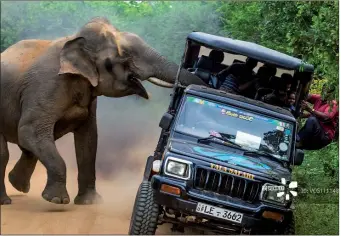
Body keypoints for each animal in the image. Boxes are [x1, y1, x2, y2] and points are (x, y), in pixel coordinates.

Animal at [0, 17, 206, 205]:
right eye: (126, 55)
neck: (74, 40)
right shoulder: (46, 86)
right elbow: (30, 131)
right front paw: (57, 200)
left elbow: (89, 139)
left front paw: (90, 202)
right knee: (7, 151)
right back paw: (6, 200)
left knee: (26, 148)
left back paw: (18, 185)